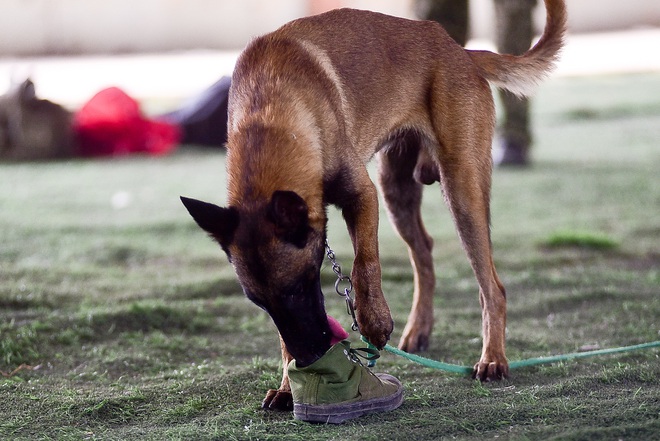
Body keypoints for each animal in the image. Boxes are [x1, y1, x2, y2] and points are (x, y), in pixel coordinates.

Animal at [184, 0, 568, 410]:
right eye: (260, 303)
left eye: (300, 288)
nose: (309, 357)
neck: (268, 113)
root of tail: (460, 51)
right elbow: (286, 332)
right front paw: (289, 385)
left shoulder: (362, 195)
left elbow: (365, 263)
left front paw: (374, 322)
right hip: (397, 190)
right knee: (424, 252)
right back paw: (420, 329)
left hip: (461, 189)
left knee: (491, 286)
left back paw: (493, 357)